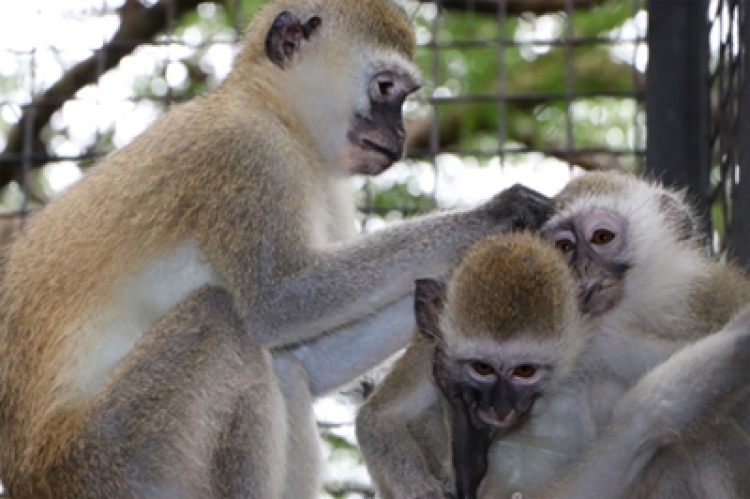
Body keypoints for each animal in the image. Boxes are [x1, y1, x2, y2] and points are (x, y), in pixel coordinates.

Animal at [0, 0, 552, 499]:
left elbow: (306, 355)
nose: (398, 135)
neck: (277, 114)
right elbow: (275, 304)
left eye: (402, 96)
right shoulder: (248, 154)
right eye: (385, 89)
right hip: (109, 462)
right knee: (224, 320)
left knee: (282, 368)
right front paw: (492, 216)